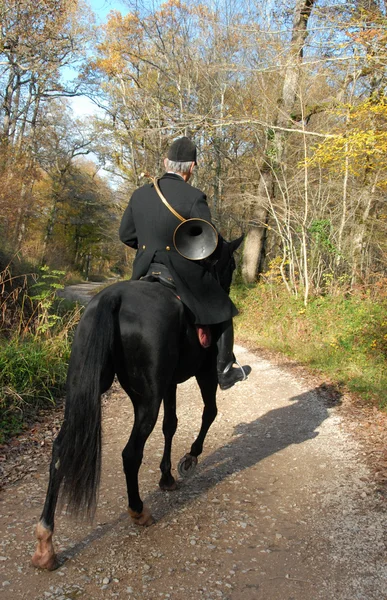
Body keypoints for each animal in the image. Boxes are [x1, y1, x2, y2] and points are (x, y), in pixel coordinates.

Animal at [31, 236, 244, 572]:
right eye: (232, 264)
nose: (228, 287)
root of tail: (114, 298)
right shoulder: (205, 373)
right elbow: (209, 413)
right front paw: (189, 459)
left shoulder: (168, 383)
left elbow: (171, 425)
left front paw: (167, 477)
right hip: (150, 399)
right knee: (131, 453)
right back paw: (138, 511)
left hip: (94, 389)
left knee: (61, 449)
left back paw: (45, 543)